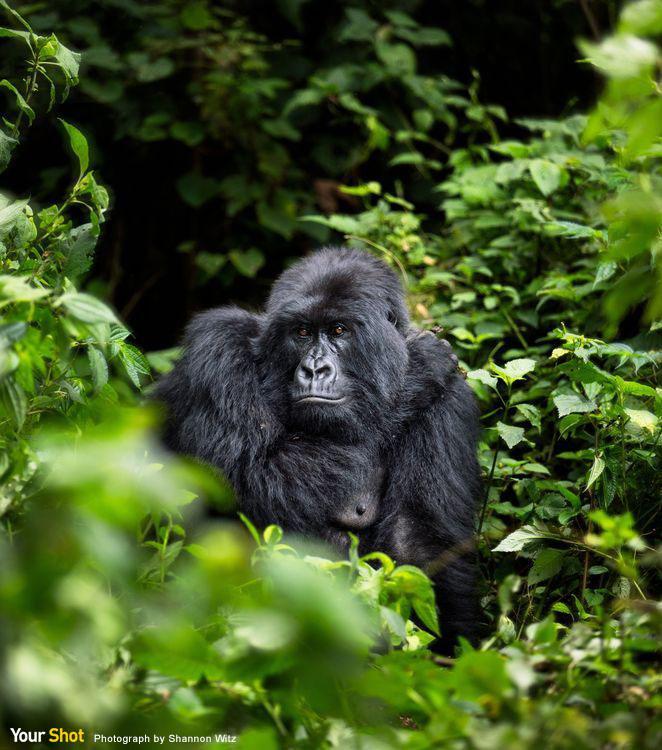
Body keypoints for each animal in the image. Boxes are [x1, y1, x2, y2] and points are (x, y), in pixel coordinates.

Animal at [158, 247, 486, 652]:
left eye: (339, 331)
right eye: (301, 332)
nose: (315, 369)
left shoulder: (452, 399)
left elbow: (418, 542)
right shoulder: (219, 344)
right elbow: (241, 474)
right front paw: (419, 370)